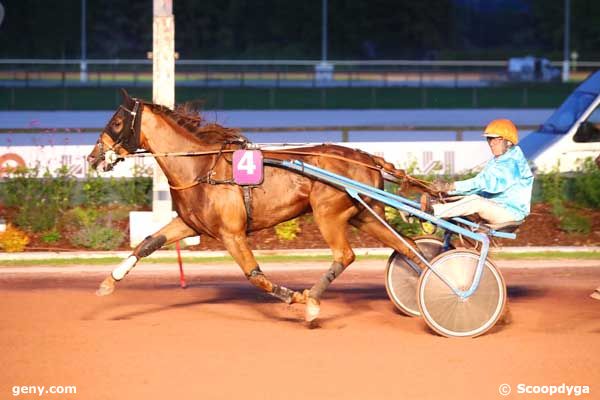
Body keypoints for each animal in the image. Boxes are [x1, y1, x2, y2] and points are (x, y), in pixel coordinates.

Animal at [88, 90, 426, 322]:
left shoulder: (232, 234)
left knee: (345, 255)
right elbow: (146, 244)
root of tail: (369, 158)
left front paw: (297, 297)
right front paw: (108, 282)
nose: (92, 157)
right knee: (408, 247)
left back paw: (313, 301)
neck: (200, 168)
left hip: (328, 214)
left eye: (116, 121)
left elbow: (254, 275)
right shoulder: (189, 224)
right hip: (364, 216)